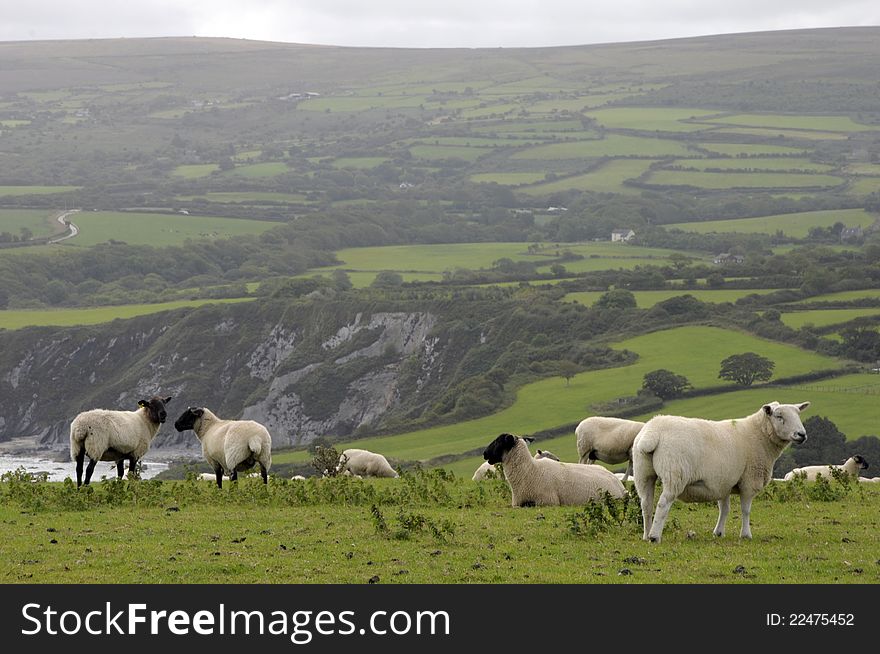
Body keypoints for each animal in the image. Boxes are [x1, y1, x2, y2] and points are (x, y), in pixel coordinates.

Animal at [482, 434, 624, 510]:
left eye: (499, 441)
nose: (484, 453)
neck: (530, 471)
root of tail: (620, 485)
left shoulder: (548, 501)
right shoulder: (517, 503)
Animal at [632, 402, 812, 544]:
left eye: (798, 414)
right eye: (779, 416)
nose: (802, 435)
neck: (760, 436)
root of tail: (653, 432)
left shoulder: (723, 482)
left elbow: (724, 508)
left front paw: (719, 532)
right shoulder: (749, 481)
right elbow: (745, 510)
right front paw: (746, 535)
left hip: (643, 473)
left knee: (646, 504)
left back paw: (646, 535)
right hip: (675, 473)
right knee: (663, 503)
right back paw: (655, 537)